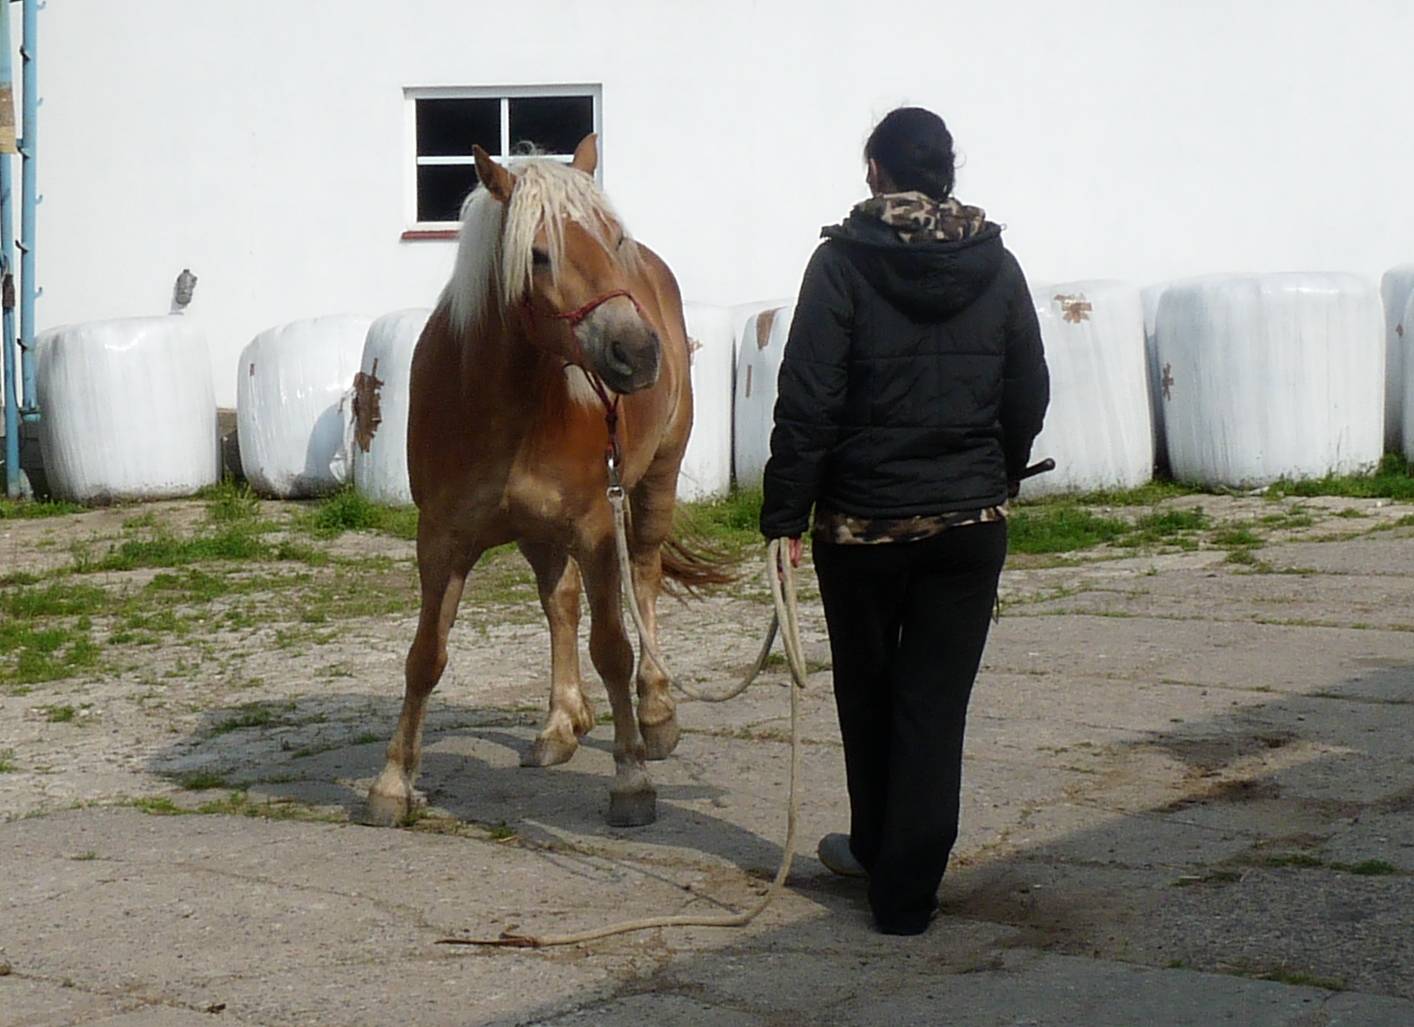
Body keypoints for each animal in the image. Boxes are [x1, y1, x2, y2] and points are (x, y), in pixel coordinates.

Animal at [364, 135, 723, 826]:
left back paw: (657, 713)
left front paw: (631, 779)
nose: (638, 355)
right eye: (538, 254)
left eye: (614, 239)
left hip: (652, 483)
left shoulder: (596, 529)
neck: (506, 406)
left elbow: (612, 648)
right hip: (539, 531)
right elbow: (425, 657)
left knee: (644, 580)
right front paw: (393, 781)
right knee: (560, 601)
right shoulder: (441, 540)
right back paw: (561, 724)